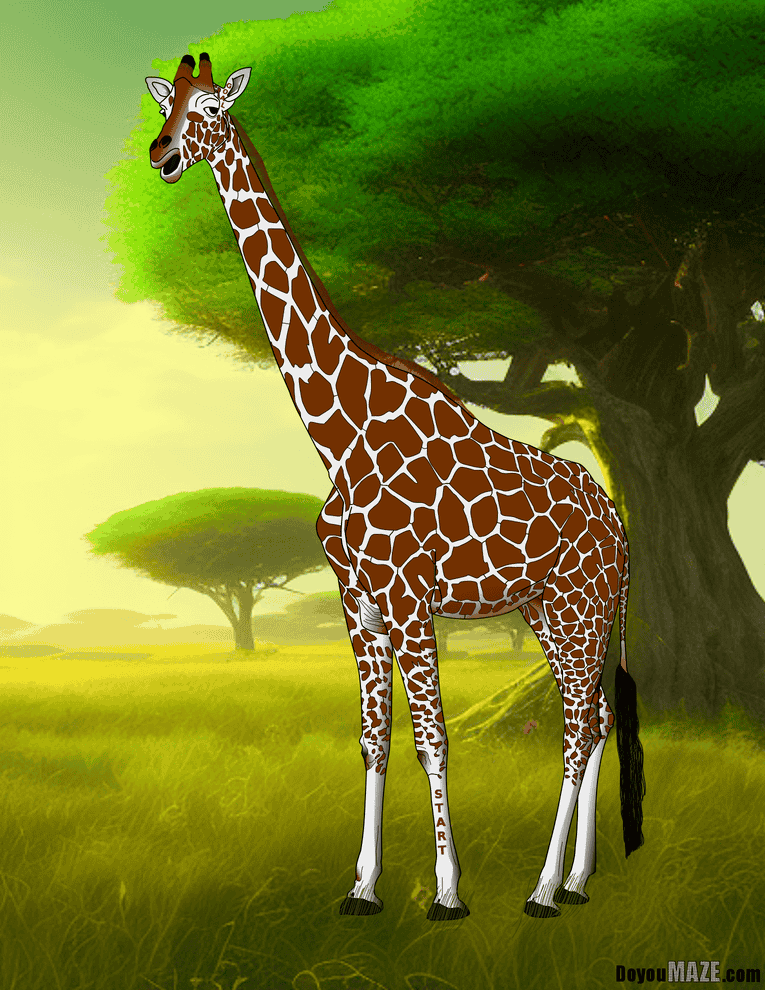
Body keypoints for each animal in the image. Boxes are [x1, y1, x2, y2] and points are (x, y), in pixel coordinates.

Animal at [146, 53, 645, 920]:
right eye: (164, 106)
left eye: (210, 106)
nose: (164, 154)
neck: (337, 434)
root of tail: (616, 521)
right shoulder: (359, 601)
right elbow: (373, 737)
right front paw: (362, 886)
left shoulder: (410, 597)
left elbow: (432, 737)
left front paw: (445, 892)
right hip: (549, 612)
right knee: (595, 717)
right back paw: (576, 880)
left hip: (583, 606)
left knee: (578, 722)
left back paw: (542, 889)